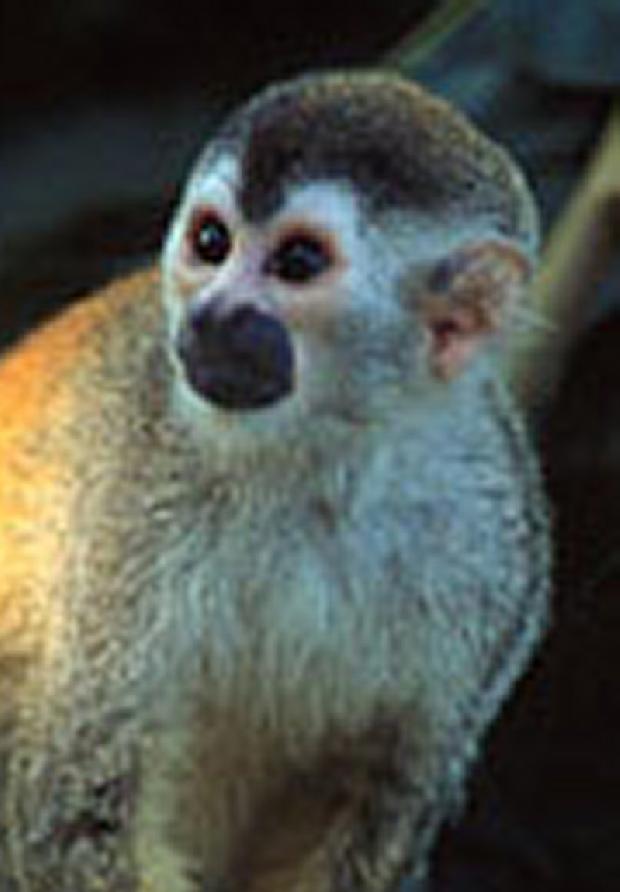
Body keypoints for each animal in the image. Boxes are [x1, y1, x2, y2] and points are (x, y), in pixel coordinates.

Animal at [0, 70, 550, 892]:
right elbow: (76, 807)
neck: (318, 461)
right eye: (211, 242)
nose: (208, 316)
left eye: (297, 262)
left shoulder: (495, 542)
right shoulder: (123, 495)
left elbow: (387, 796)